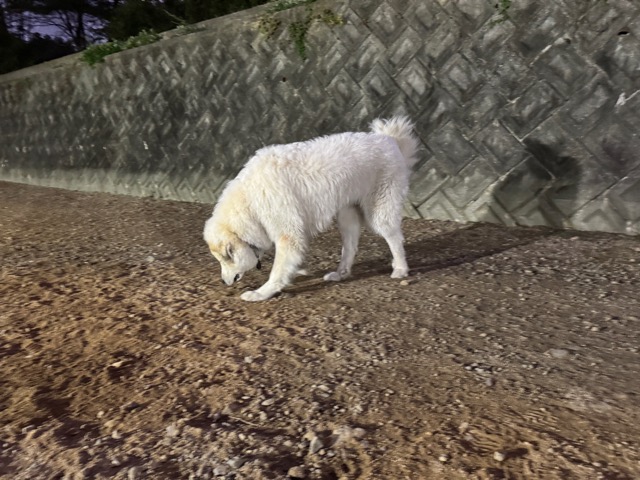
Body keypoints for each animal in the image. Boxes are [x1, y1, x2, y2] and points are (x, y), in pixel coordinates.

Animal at [203, 116, 420, 301]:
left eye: (225, 260)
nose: (224, 282)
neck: (249, 201)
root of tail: (389, 139)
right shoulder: (294, 234)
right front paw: (296, 272)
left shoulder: (287, 234)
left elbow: (276, 271)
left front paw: (261, 293)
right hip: (346, 215)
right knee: (350, 247)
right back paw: (340, 273)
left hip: (378, 213)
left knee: (395, 239)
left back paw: (400, 269)